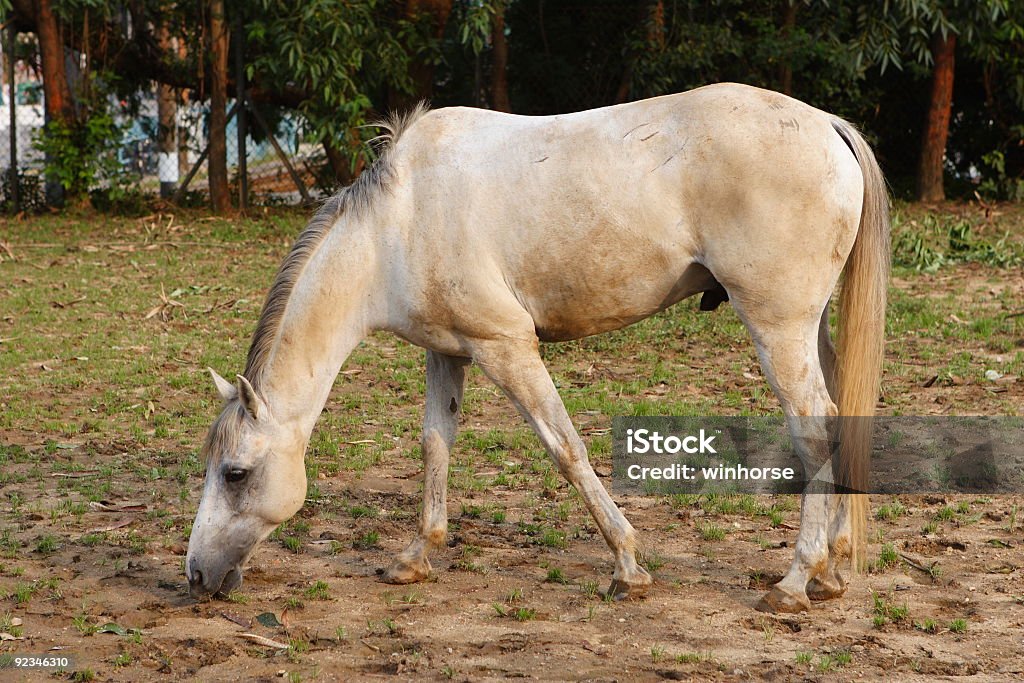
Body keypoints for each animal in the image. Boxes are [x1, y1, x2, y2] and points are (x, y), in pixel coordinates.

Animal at [184, 82, 888, 610]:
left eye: (235, 472)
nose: (195, 575)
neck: (397, 224)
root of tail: (826, 125)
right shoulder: (450, 352)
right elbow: (436, 445)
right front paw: (416, 556)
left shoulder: (508, 347)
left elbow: (565, 448)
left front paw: (627, 566)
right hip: (807, 328)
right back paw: (830, 573)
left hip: (777, 330)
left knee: (814, 429)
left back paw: (795, 581)